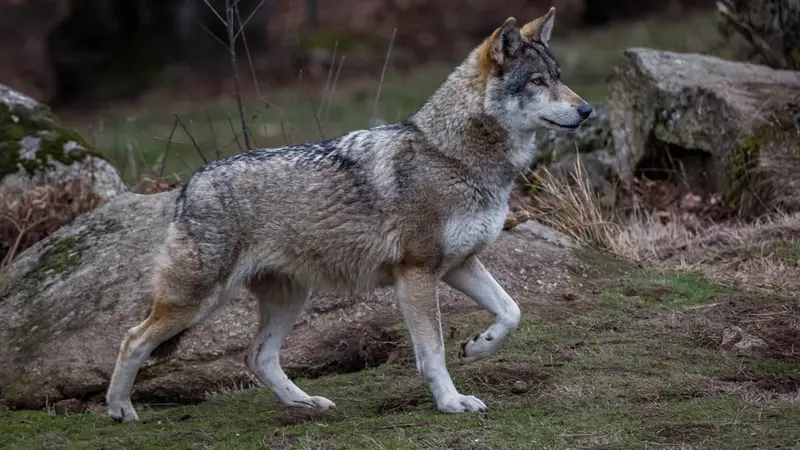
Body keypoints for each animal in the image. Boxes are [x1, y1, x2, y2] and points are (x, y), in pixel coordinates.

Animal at [105, 6, 592, 422]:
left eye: (559, 78)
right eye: (536, 81)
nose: (587, 109)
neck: (454, 156)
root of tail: (189, 184)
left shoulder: (459, 264)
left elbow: (512, 311)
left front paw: (477, 347)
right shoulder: (417, 272)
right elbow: (432, 351)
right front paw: (451, 402)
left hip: (290, 297)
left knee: (257, 356)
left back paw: (307, 404)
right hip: (199, 301)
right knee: (132, 339)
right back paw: (120, 410)